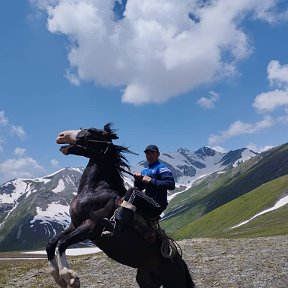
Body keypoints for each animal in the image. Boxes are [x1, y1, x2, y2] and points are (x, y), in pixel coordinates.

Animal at [46, 124, 195, 288]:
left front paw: (70, 277)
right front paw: (57, 276)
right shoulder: (74, 224)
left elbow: (62, 243)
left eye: (92, 131)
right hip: (146, 280)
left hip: (173, 282)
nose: (61, 136)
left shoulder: (92, 226)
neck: (94, 190)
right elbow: (52, 243)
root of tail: (179, 261)